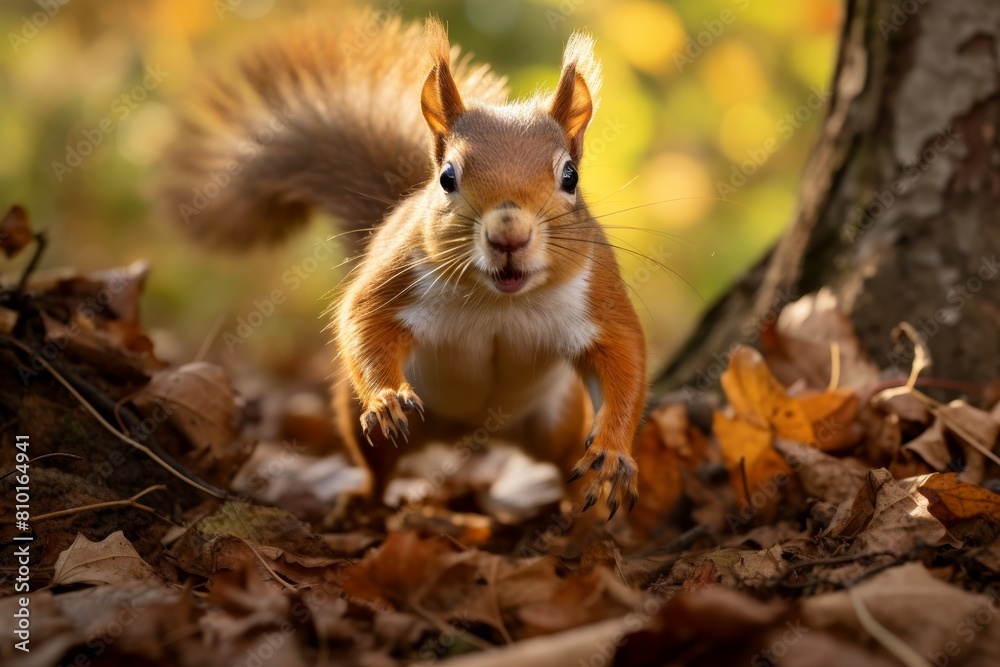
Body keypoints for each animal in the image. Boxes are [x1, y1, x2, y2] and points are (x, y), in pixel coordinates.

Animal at [160, 14, 648, 518]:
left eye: (570, 176)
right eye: (447, 177)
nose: (509, 235)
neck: (499, 300)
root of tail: (472, 431)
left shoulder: (598, 290)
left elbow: (625, 356)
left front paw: (614, 452)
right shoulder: (398, 272)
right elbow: (363, 320)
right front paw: (386, 396)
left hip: (557, 419)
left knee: (564, 457)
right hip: (361, 421)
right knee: (378, 465)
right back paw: (361, 501)